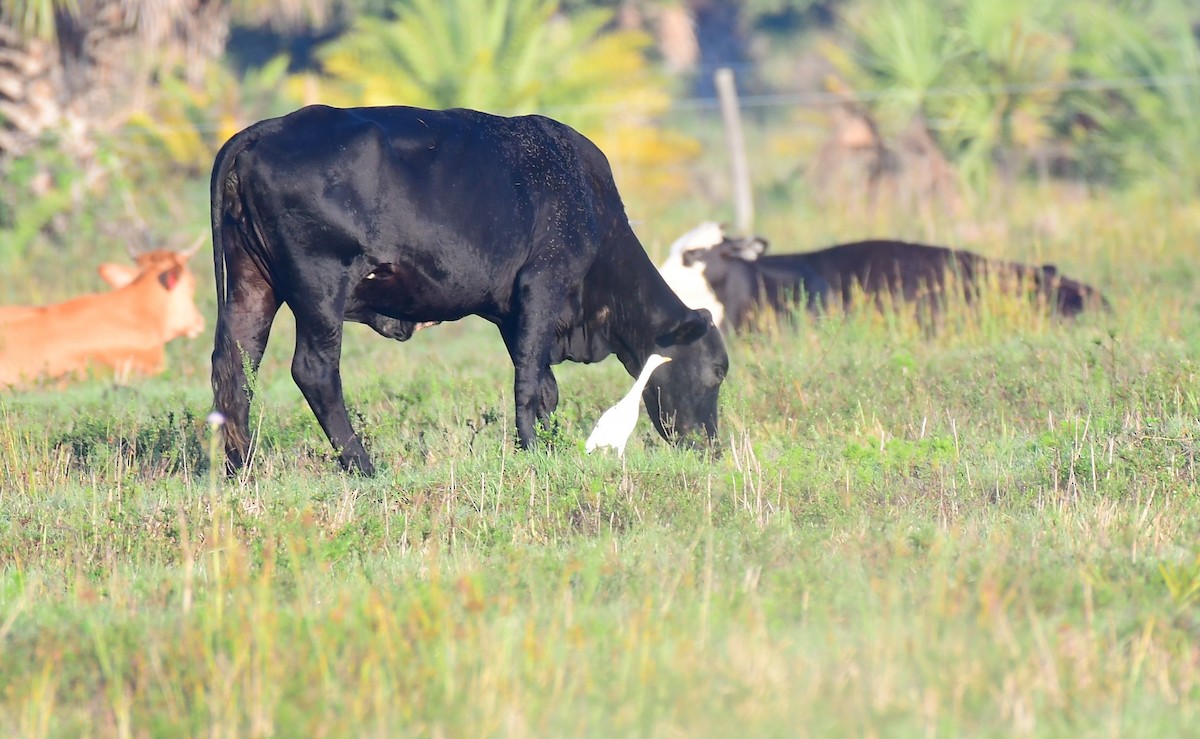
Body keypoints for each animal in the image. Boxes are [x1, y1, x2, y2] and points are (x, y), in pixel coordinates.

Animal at [211, 103, 724, 477]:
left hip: (252, 284)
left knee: (234, 366)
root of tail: (268, 129)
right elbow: (529, 382)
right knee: (313, 370)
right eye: (718, 372)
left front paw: (551, 445)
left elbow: (544, 385)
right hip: (320, 287)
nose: (712, 448)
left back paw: (242, 471)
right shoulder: (543, 285)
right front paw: (534, 450)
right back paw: (363, 466)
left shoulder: (511, 312)